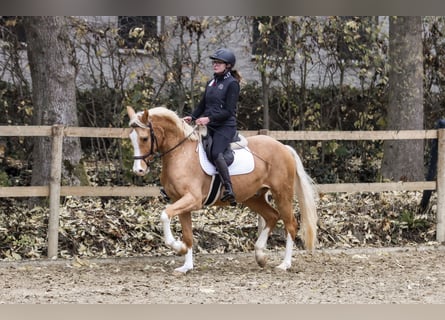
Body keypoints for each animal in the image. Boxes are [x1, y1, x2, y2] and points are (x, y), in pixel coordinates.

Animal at [126, 106, 318, 274]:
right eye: (131, 138)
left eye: (144, 138)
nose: (138, 170)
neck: (180, 154)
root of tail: (283, 147)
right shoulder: (180, 201)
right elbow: (188, 235)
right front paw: (186, 266)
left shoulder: (193, 200)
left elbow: (164, 215)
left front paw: (178, 247)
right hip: (253, 197)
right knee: (272, 216)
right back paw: (260, 255)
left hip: (282, 194)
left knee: (290, 224)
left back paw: (284, 264)